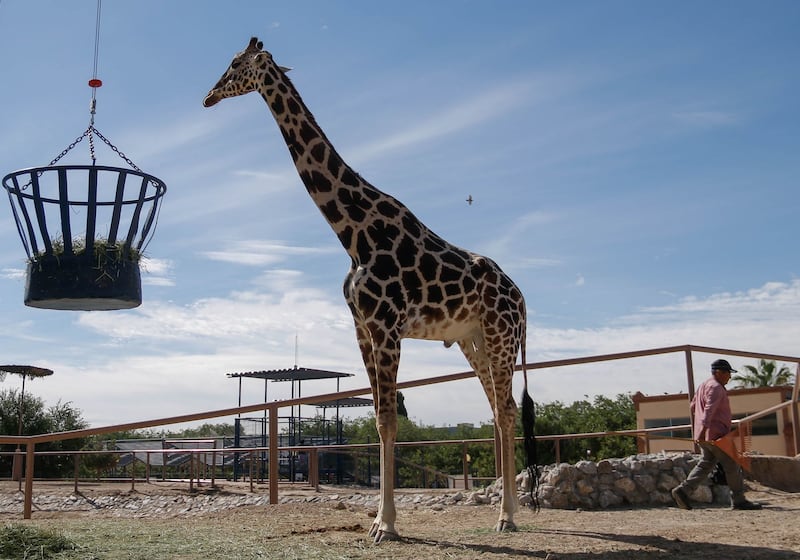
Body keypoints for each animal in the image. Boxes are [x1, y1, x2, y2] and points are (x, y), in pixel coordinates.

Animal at [205, 36, 536, 544]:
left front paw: (386, 525)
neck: (353, 234)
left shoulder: (386, 326)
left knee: (505, 411)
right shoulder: (362, 328)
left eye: (236, 64)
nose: (208, 96)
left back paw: (508, 517)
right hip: (473, 339)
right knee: (500, 411)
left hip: (501, 337)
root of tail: (522, 299)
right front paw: (381, 521)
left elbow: (387, 420)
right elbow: (380, 418)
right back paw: (504, 511)